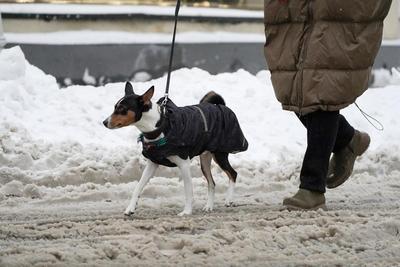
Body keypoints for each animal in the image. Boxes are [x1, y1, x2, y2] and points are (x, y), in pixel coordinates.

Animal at [103, 82, 247, 217]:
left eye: (122, 109)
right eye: (115, 107)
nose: (104, 122)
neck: (160, 128)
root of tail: (220, 105)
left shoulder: (184, 164)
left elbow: (188, 190)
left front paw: (187, 211)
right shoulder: (152, 163)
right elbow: (138, 187)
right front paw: (130, 208)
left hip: (219, 154)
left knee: (233, 174)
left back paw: (228, 200)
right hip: (205, 160)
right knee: (212, 183)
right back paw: (209, 206)